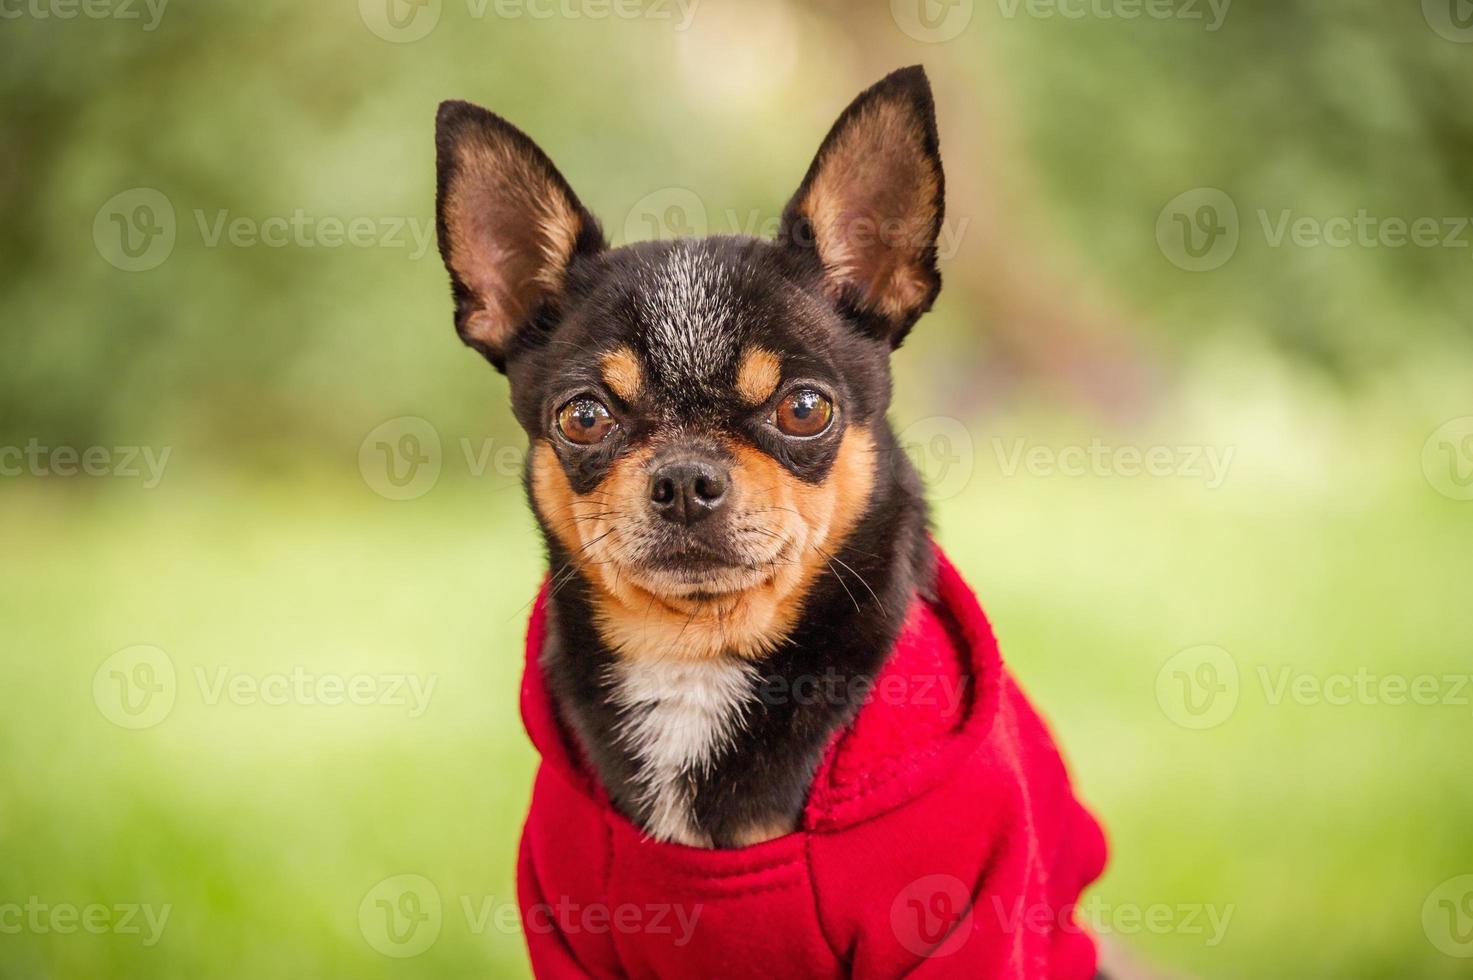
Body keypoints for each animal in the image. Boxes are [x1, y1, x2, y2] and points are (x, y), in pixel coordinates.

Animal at [430, 64, 1101, 972]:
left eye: (805, 408)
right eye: (584, 418)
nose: (685, 479)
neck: (696, 659)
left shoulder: (967, 921)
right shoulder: (571, 930)